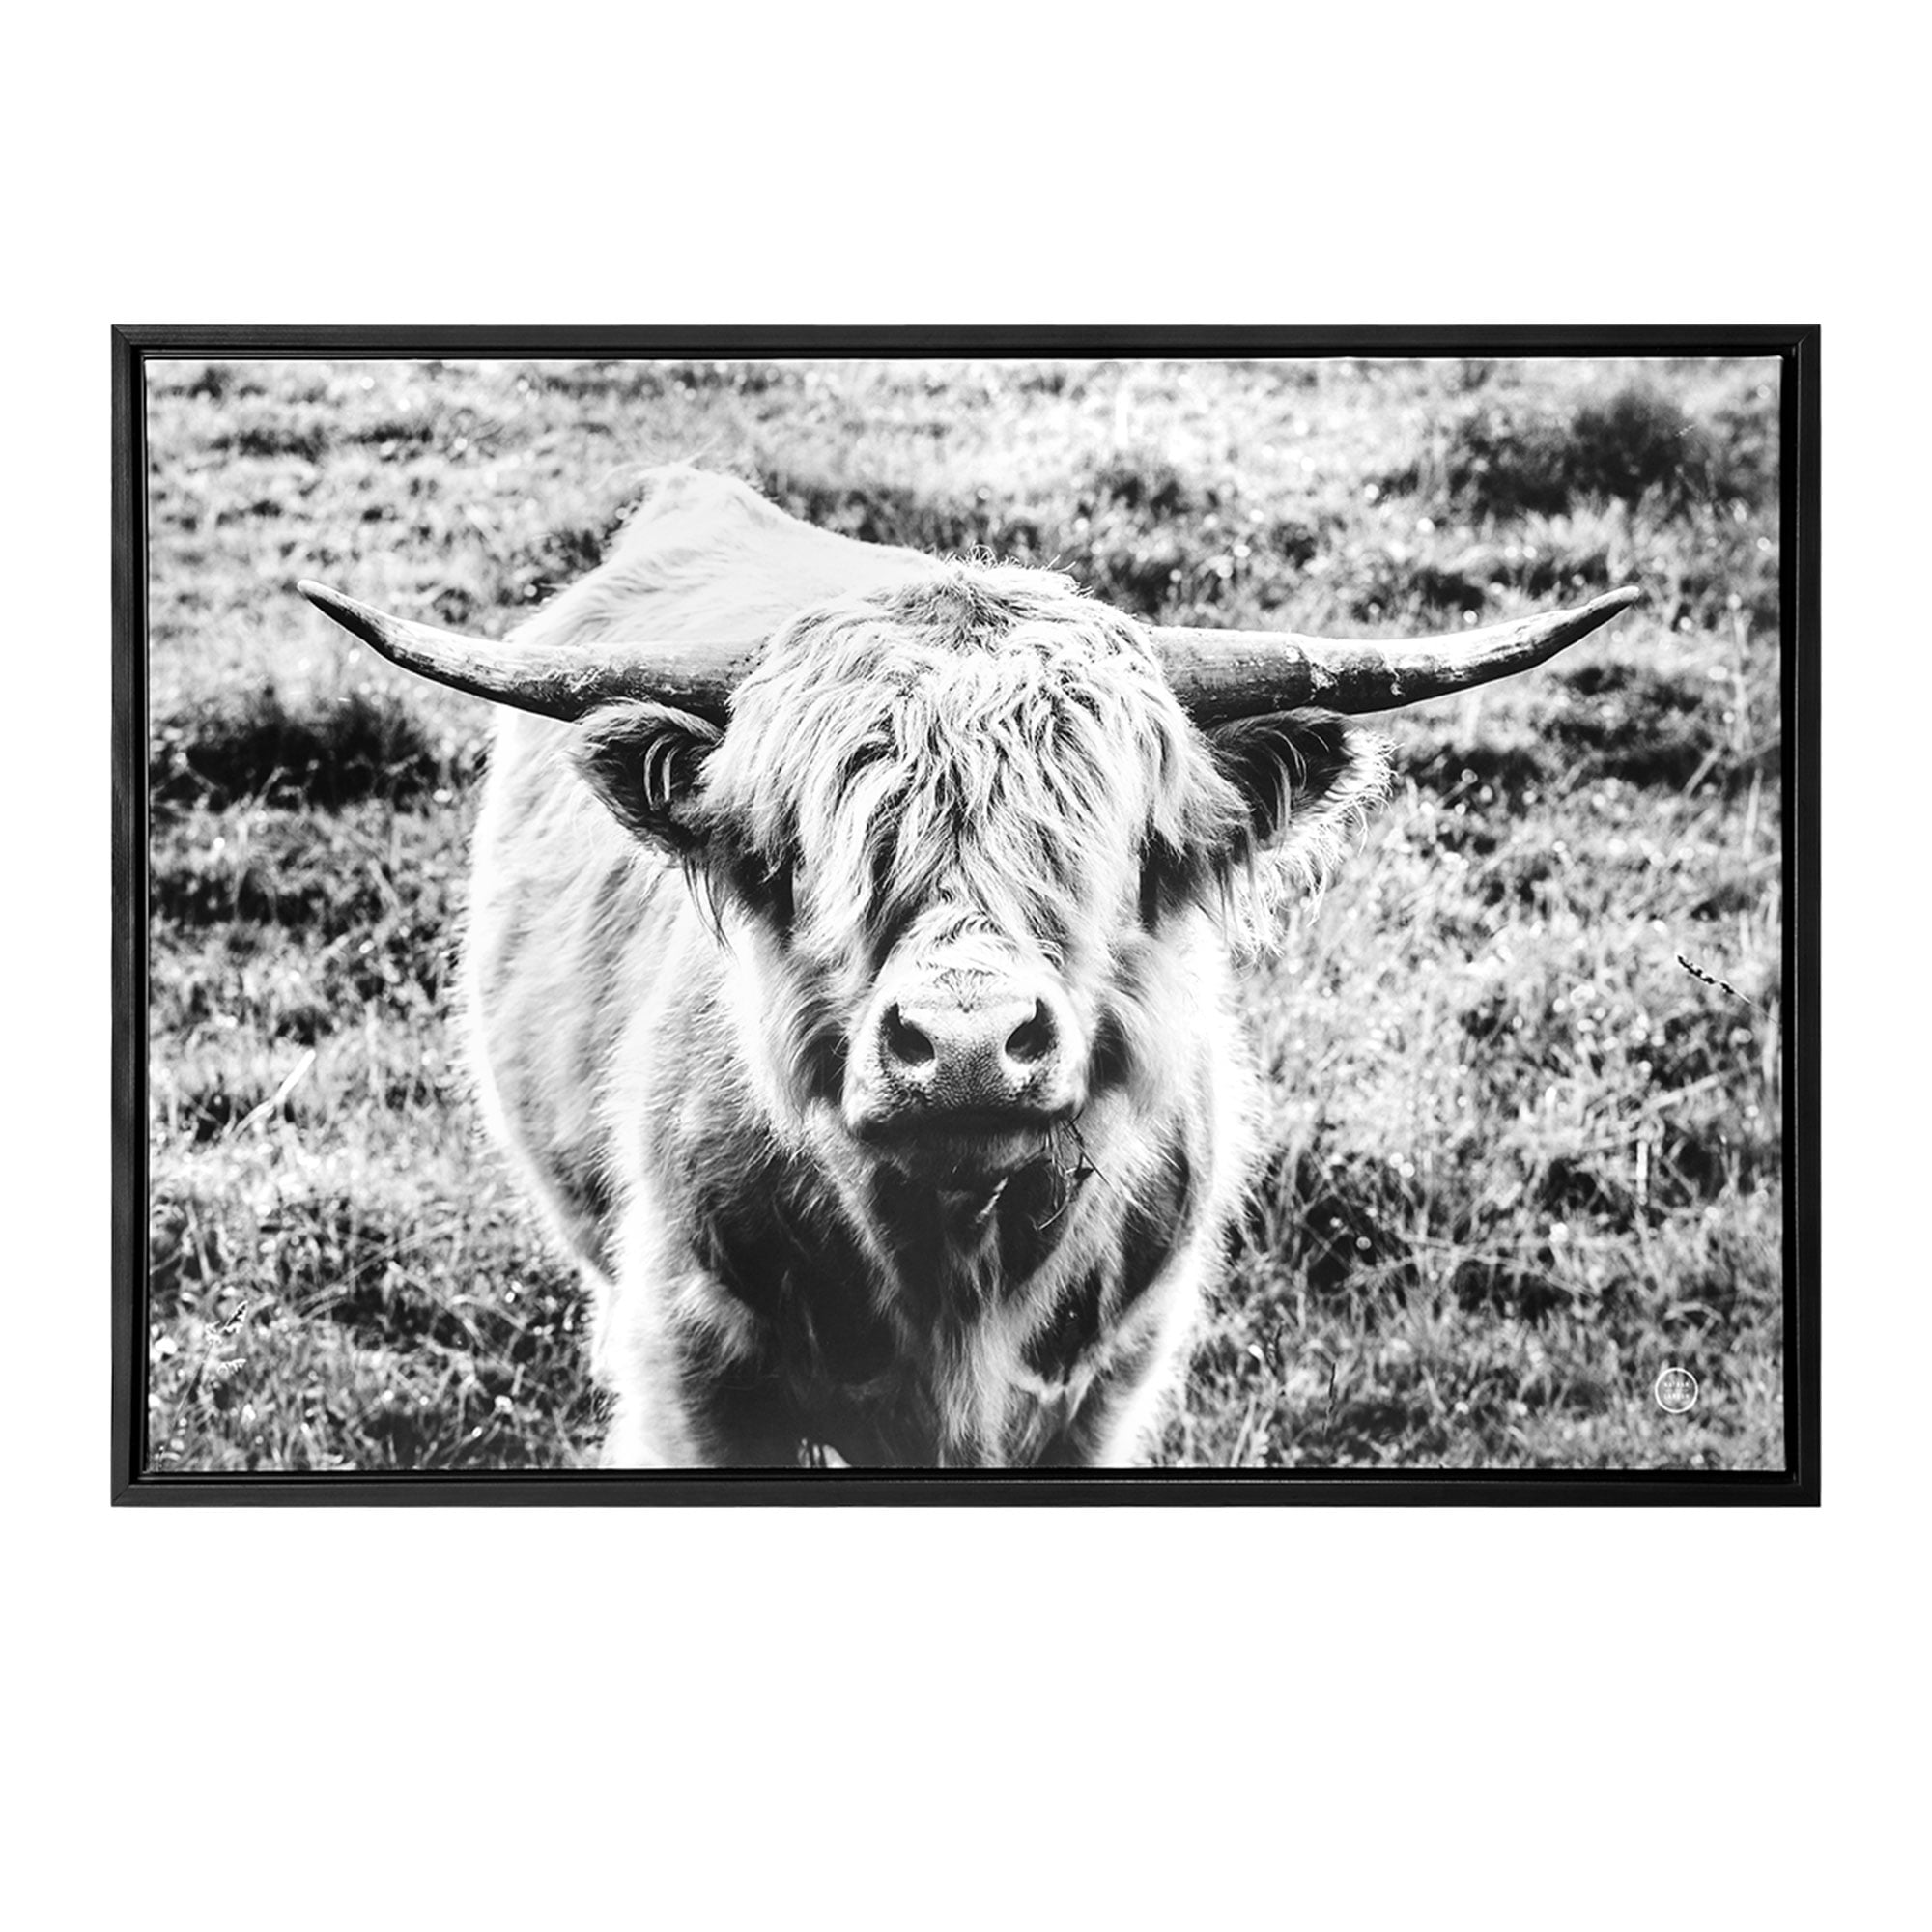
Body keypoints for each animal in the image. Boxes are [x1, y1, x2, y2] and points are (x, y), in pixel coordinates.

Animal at [301, 466, 1636, 1469]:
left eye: (1110, 839)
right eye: (815, 842)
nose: (962, 1045)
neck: (954, 1274)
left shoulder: (1107, 1381)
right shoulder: (689, 1361)